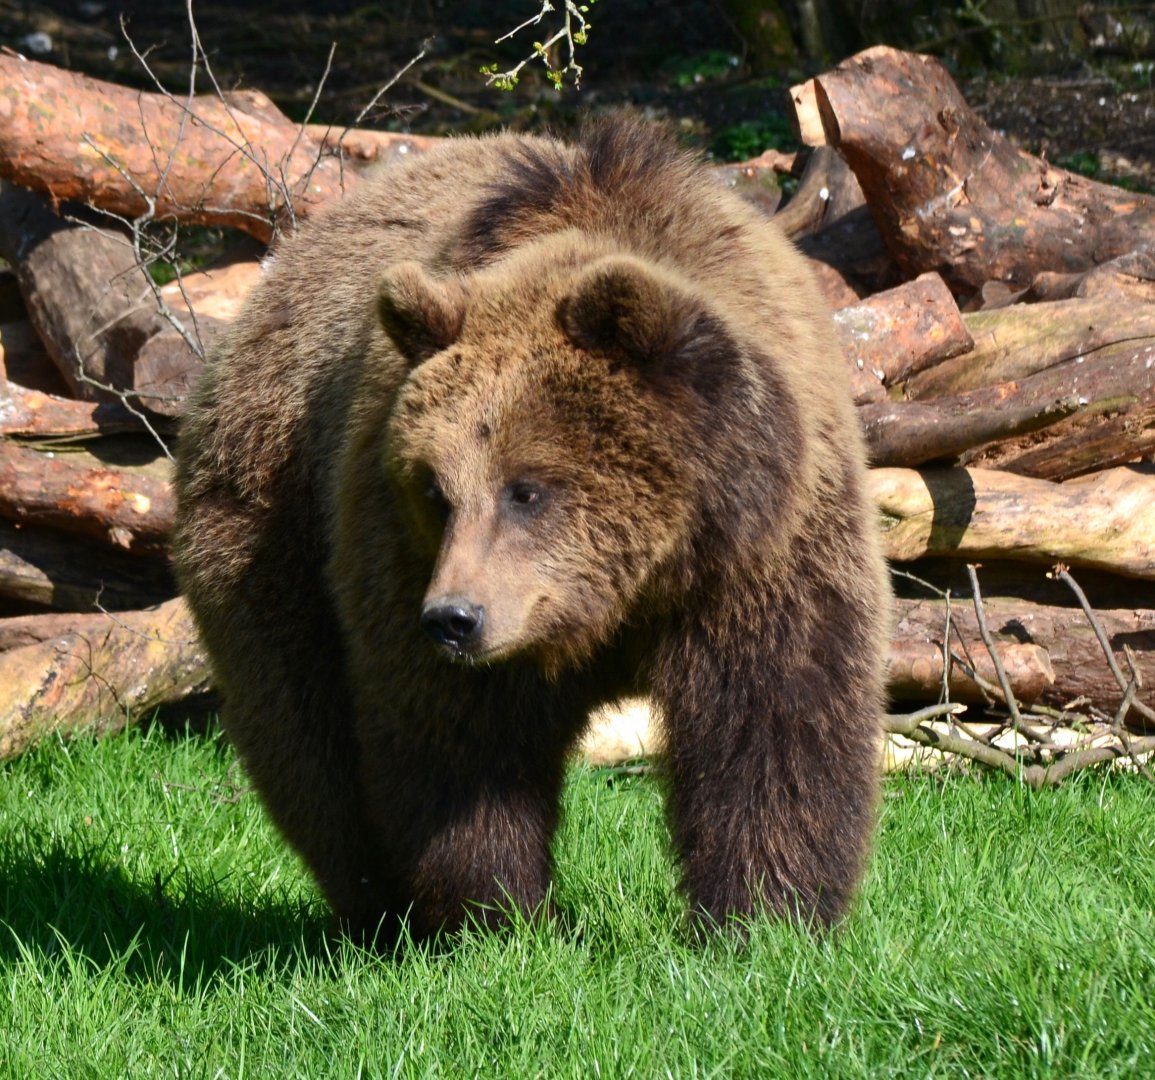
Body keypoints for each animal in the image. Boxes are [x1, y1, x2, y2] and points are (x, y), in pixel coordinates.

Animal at [172, 116, 892, 943]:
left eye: (528, 489)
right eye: (435, 488)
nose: (454, 618)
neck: (627, 591)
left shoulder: (762, 555)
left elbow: (773, 722)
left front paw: (766, 916)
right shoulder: (407, 559)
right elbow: (462, 749)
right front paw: (495, 914)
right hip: (272, 517)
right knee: (305, 730)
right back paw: (374, 906)